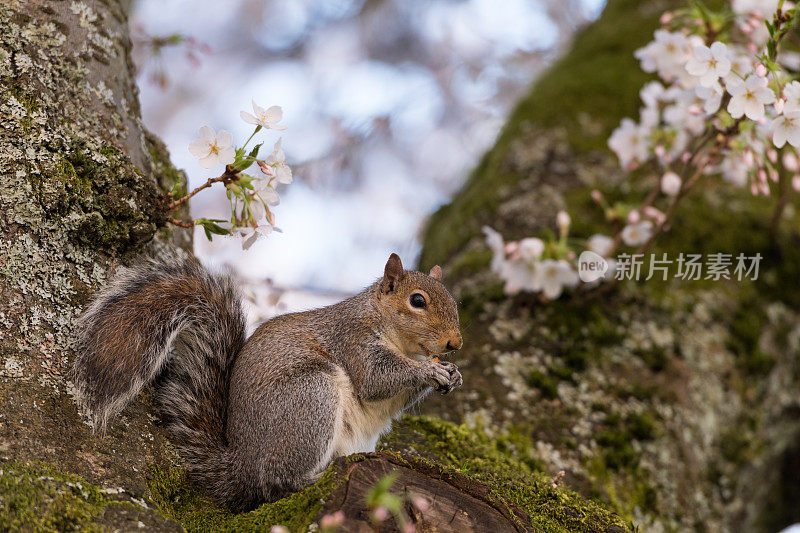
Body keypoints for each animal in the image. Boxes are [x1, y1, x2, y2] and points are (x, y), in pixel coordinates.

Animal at [75, 254, 462, 512]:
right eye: (417, 301)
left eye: (455, 302)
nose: (454, 343)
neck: (402, 343)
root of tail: (240, 465)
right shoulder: (353, 339)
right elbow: (375, 378)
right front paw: (429, 372)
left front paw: (451, 373)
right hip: (309, 400)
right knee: (276, 483)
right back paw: (311, 478)